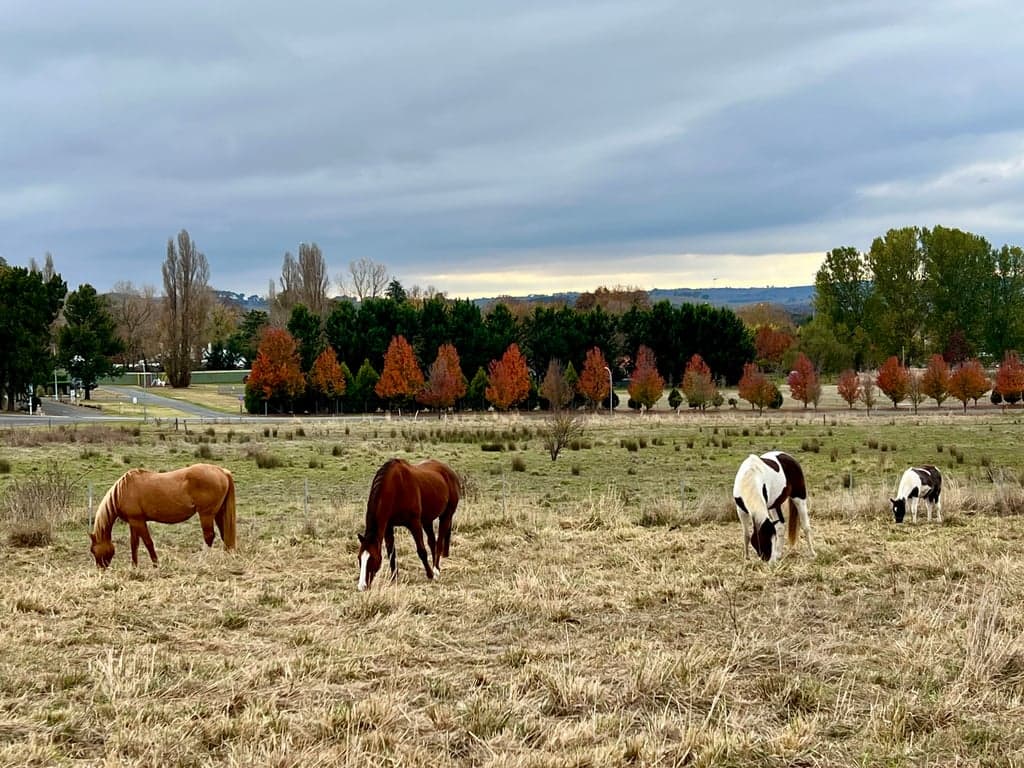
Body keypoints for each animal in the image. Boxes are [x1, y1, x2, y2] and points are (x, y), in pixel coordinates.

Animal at [89, 463, 237, 568]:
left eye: (93, 550)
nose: (100, 569)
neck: (123, 491)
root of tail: (221, 471)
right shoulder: (133, 522)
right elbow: (134, 544)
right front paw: (134, 567)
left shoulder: (138, 521)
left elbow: (148, 542)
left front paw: (156, 565)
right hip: (218, 513)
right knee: (224, 534)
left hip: (206, 514)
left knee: (209, 536)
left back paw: (202, 561)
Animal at [357, 458, 461, 591]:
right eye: (359, 558)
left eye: (372, 558)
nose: (362, 586)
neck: (396, 488)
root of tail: (449, 471)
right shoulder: (388, 527)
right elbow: (391, 552)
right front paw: (394, 577)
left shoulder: (414, 523)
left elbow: (421, 551)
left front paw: (430, 575)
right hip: (427, 520)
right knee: (432, 542)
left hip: (446, 515)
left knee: (439, 541)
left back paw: (436, 570)